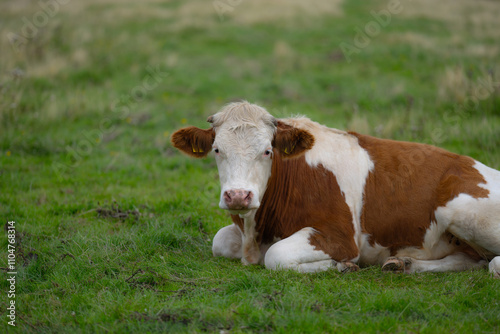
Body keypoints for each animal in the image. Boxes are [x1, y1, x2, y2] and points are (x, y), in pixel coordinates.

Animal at [172, 102, 500, 276]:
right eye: (217, 150)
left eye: (267, 151)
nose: (238, 196)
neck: (257, 231)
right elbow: (220, 242)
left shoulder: (342, 237)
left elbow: (276, 256)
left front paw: (340, 266)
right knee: (471, 260)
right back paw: (402, 263)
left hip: (462, 212)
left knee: (492, 263)